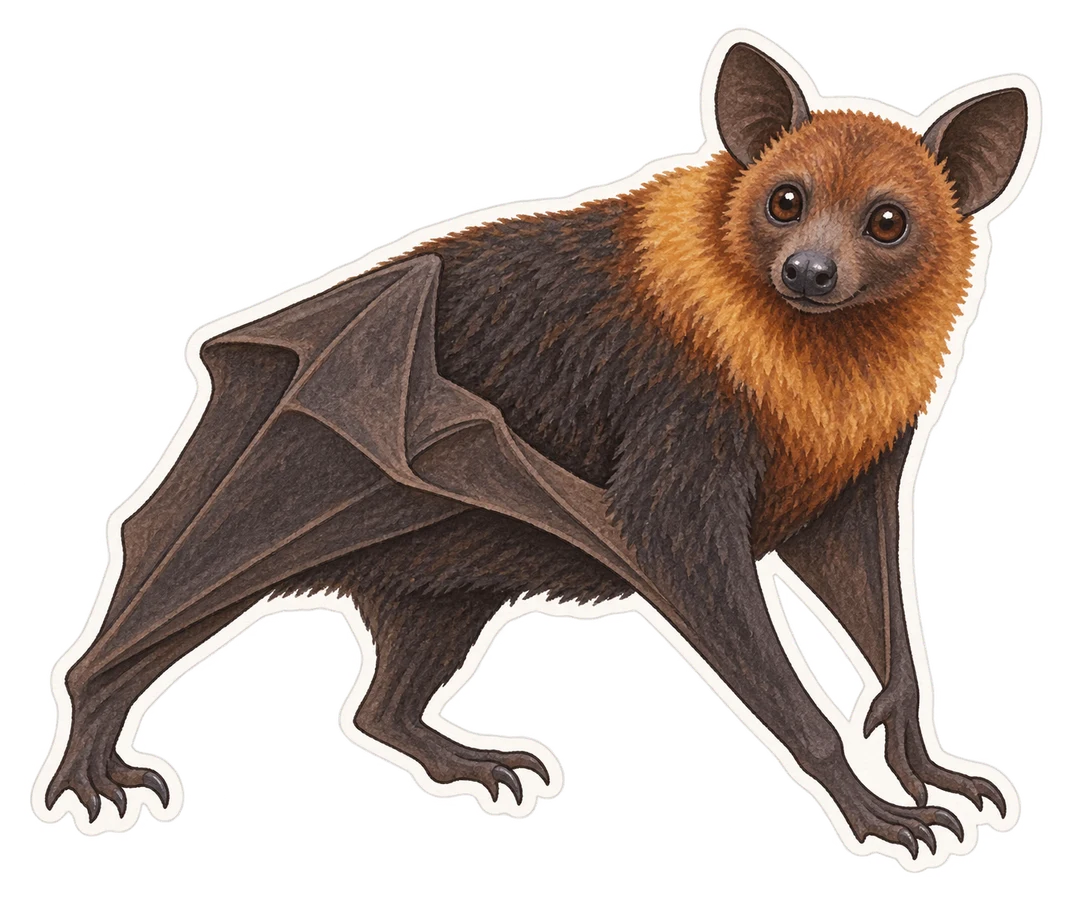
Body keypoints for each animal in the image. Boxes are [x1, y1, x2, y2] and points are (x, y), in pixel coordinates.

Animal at [39, 39, 1030, 860]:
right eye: (787, 201)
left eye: (889, 220)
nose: (810, 272)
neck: (817, 366)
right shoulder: (678, 465)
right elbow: (717, 597)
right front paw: (880, 815)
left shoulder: (858, 486)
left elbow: (888, 623)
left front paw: (932, 772)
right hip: (303, 451)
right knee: (158, 588)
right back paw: (90, 766)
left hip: (437, 569)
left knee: (378, 706)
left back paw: (475, 763)